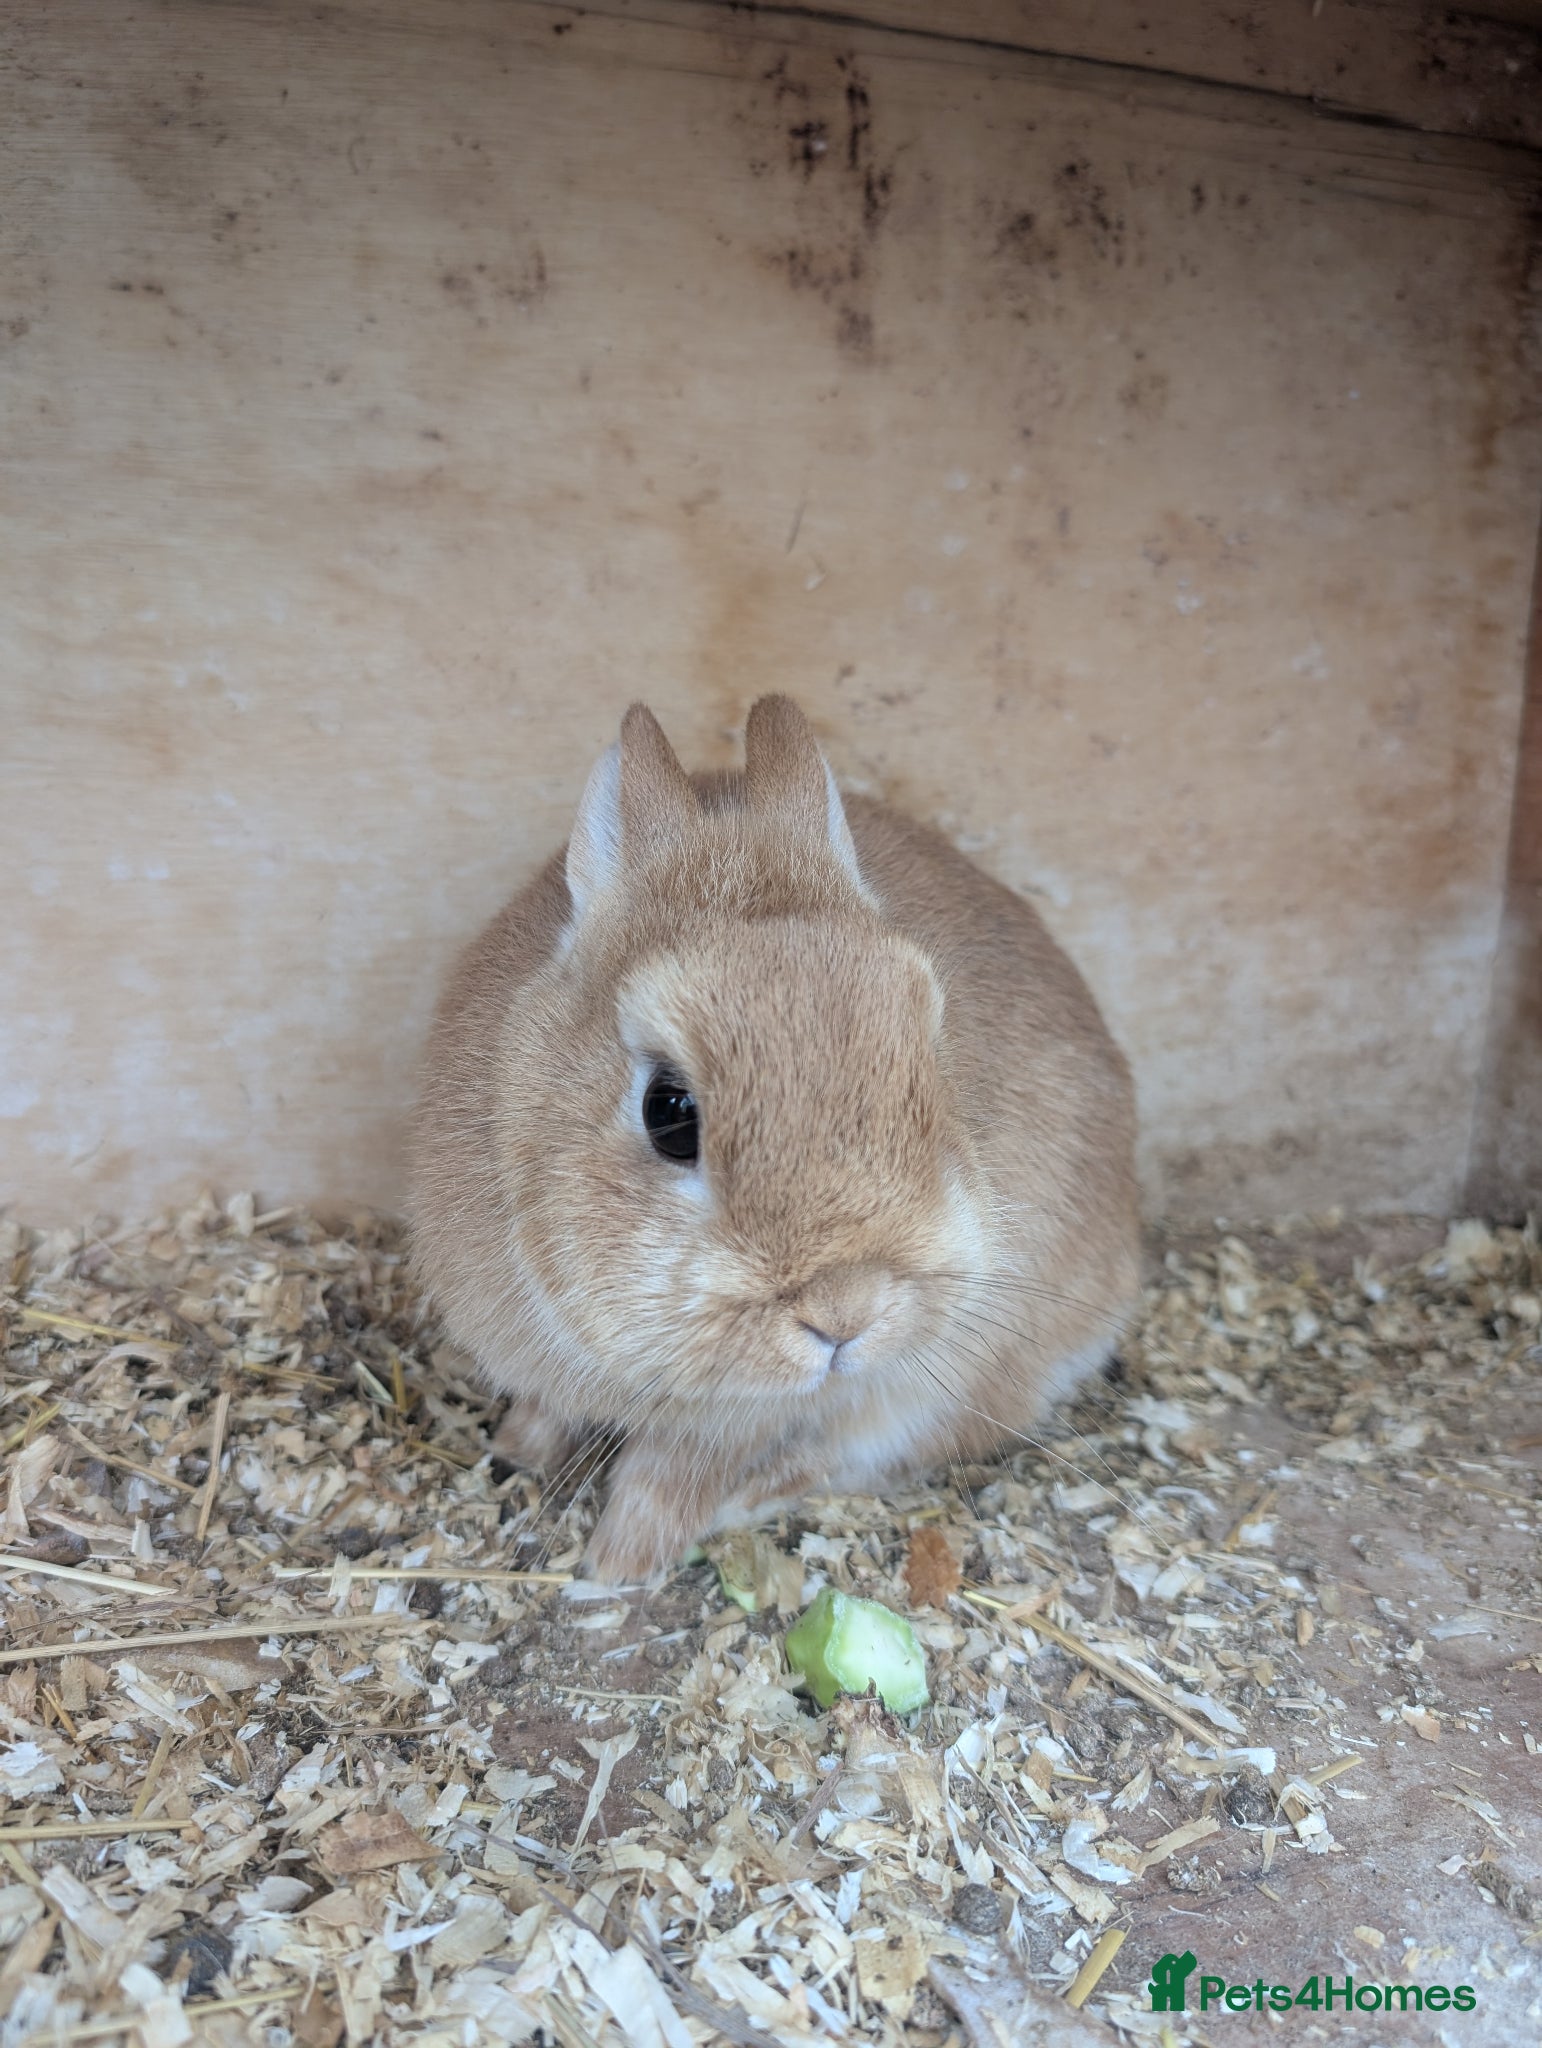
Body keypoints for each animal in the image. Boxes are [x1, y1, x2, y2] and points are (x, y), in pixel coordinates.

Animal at [409, 696, 1138, 1585]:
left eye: (929, 1060)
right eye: (669, 1112)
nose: (846, 1312)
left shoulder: (736, 1425)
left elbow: (670, 1483)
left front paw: (613, 1569)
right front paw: (518, 1452)